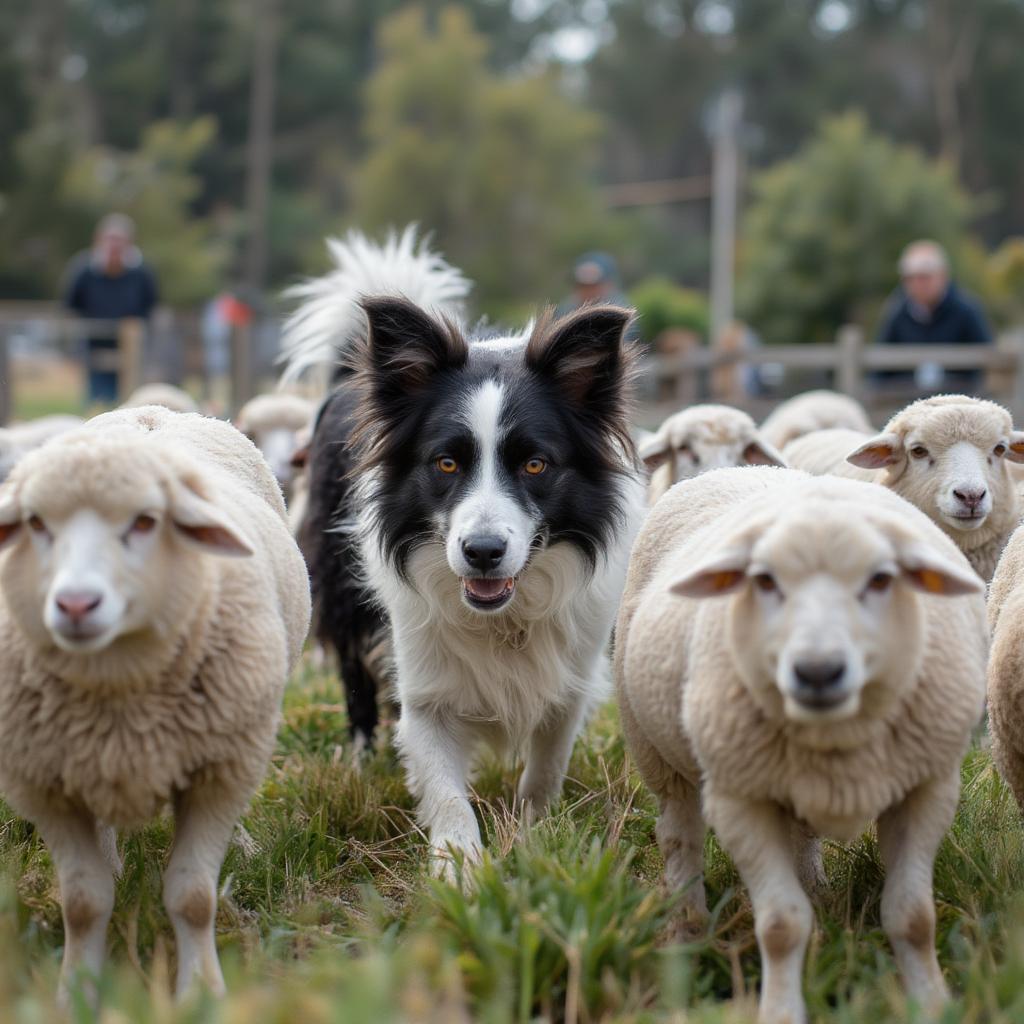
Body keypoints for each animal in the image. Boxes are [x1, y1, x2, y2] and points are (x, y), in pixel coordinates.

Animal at [0, 405, 311, 999]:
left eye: (145, 522)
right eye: (35, 524)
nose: (76, 604)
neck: (121, 690)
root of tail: (152, 413)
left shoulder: (220, 771)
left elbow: (193, 897)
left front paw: (200, 992)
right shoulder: (46, 785)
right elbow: (82, 901)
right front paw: (77, 992)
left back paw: (241, 846)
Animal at [284, 234, 643, 872]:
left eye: (535, 464)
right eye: (446, 463)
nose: (482, 552)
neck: (504, 616)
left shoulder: (571, 677)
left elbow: (546, 766)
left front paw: (533, 836)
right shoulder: (425, 683)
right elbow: (445, 789)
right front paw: (460, 871)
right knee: (354, 675)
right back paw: (360, 761)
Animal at [614, 466, 983, 1024]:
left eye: (881, 579)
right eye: (764, 580)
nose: (817, 671)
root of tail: (749, 467)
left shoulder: (927, 789)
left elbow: (914, 916)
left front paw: (932, 1003)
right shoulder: (740, 800)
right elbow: (781, 925)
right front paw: (781, 1010)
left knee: (801, 835)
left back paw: (817, 891)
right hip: (656, 751)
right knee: (679, 835)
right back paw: (686, 928)